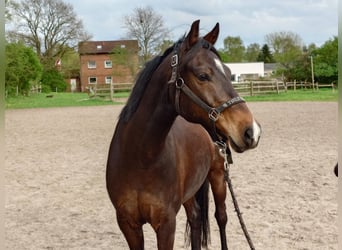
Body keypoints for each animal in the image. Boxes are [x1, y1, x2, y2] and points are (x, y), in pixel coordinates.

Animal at [105, 20, 260, 250]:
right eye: (202, 75)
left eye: (228, 71)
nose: (251, 131)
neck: (140, 157)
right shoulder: (128, 223)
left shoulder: (166, 224)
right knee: (195, 217)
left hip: (218, 176)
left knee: (221, 217)